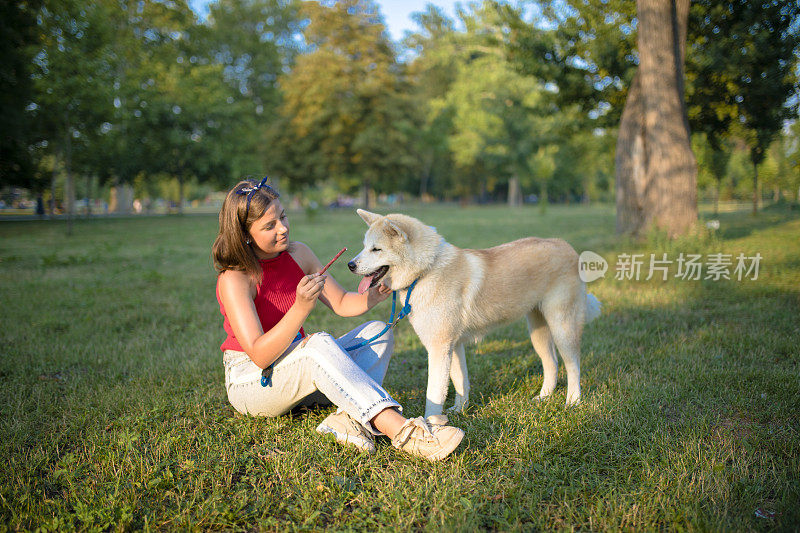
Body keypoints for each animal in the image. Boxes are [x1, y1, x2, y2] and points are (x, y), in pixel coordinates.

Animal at [350, 210, 600, 418]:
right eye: (364, 246)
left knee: (573, 365)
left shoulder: (439, 348)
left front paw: (431, 424)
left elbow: (434, 394)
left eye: (376, 249)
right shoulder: (454, 346)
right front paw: (459, 410)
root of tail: (566, 246)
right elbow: (461, 381)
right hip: (538, 331)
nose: (350, 264)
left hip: (562, 327)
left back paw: (573, 401)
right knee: (552, 364)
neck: (426, 271)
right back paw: (543, 397)